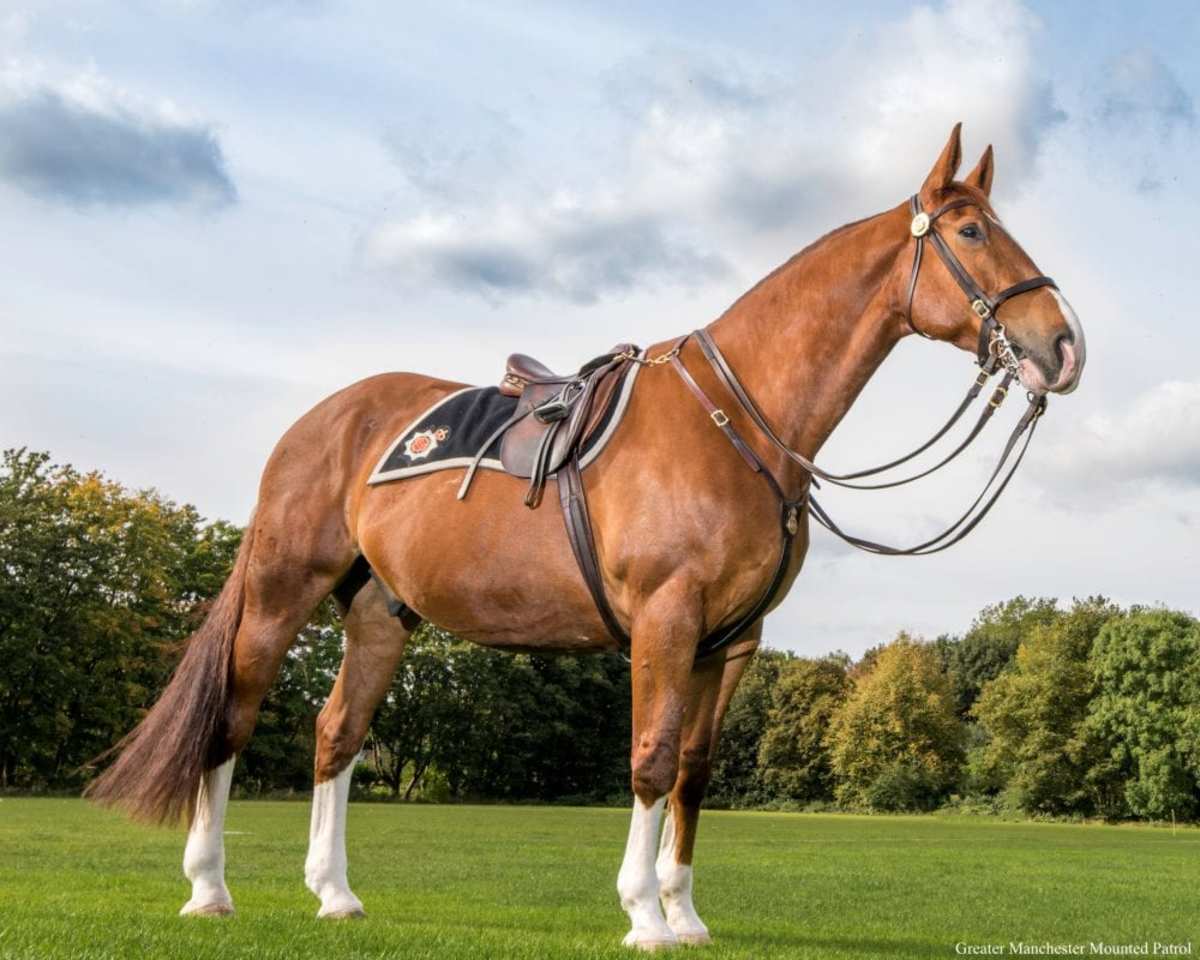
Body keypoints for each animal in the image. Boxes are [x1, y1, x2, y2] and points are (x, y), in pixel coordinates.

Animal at [88, 127, 1084, 950]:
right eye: (970, 233)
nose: (1064, 346)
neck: (738, 421)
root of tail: (317, 422)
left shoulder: (732, 643)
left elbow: (692, 772)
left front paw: (686, 914)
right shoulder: (666, 619)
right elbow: (648, 760)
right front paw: (644, 915)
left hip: (379, 611)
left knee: (338, 732)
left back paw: (334, 895)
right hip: (280, 592)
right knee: (232, 722)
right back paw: (209, 891)